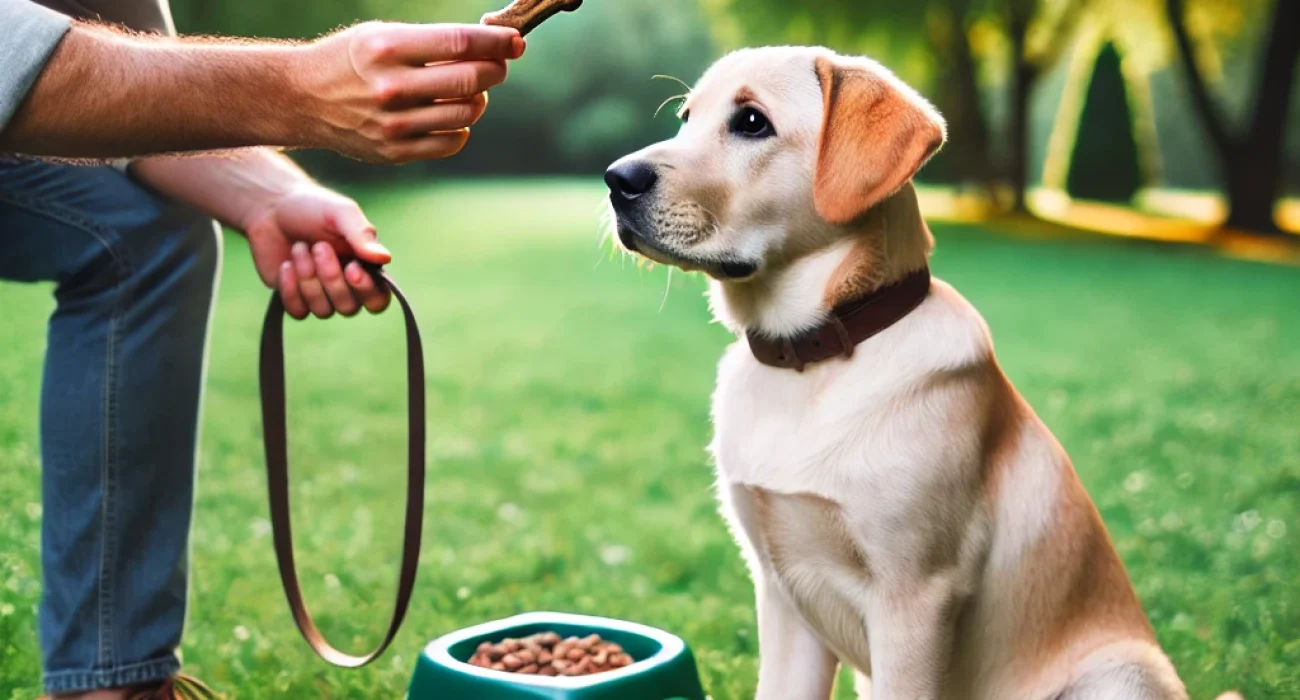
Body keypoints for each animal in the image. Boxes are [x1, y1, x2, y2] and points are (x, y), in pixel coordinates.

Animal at [603, 47, 1190, 697]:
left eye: (752, 122)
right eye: (686, 117)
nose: (616, 179)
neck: (809, 358)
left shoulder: (916, 600)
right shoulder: (783, 597)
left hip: (1119, 672)